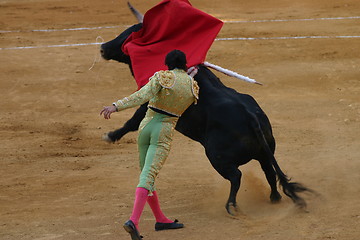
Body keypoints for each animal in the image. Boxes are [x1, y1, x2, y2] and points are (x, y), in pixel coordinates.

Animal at [99, 23, 310, 216]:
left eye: (127, 36)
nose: (102, 47)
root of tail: (251, 118)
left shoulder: (148, 103)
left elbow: (133, 121)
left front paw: (111, 135)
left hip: (216, 156)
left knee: (236, 176)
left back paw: (231, 205)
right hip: (265, 151)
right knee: (269, 172)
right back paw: (274, 198)